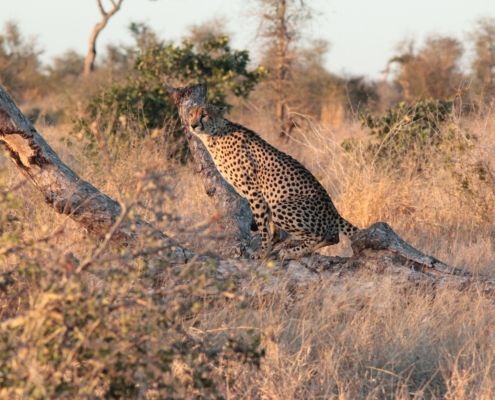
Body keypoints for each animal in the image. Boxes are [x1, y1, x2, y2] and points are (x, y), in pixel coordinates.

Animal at [188, 104, 358, 260]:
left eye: (204, 115)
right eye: (191, 115)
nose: (193, 125)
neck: (214, 136)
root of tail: (333, 210)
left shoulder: (254, 192)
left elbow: (262, 225)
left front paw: (263, 252)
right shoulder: (265, 195)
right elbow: (269, 225)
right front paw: (274, 240)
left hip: (282, 208)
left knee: (324, 236)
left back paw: (291, 252)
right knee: (333, 237)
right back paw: (296, 243)